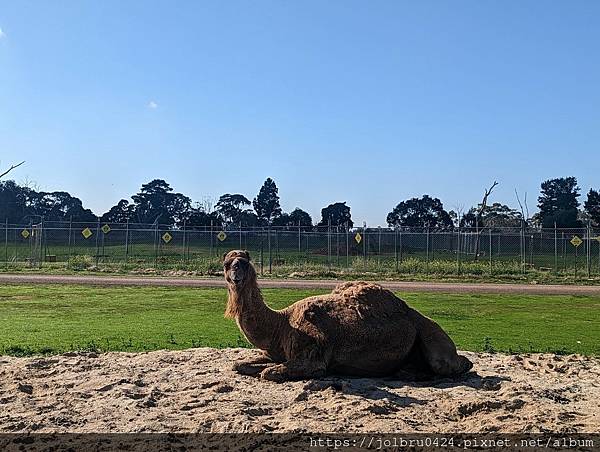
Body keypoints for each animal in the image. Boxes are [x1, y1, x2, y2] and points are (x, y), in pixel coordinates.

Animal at [223, 251, 472, 382]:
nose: (236, 274)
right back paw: (405, 371)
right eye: (226, 264)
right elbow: (239, 365)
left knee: (455, 364)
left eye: (244, 263)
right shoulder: (276, 353)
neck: (281, 324)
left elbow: (269, 373)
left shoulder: (313, 356)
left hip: (434, 341)